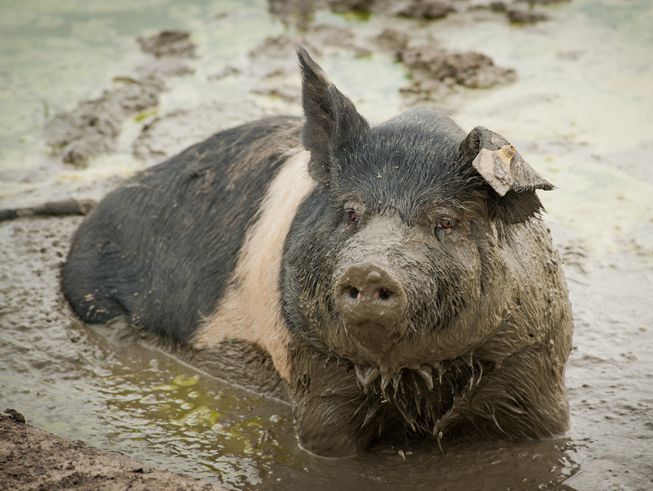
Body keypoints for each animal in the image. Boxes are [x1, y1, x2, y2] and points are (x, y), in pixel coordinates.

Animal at [61, 48, 572, 460]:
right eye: (350, 212)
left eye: (444, 222)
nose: (369, 270)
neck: (413, 381)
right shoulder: (312, 370)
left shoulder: (537, 365)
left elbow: (549, 435)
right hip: (95, 293)